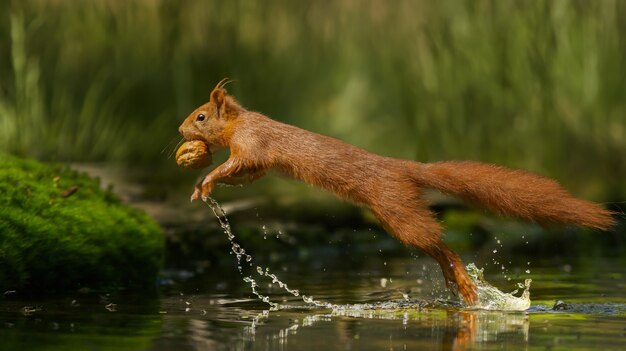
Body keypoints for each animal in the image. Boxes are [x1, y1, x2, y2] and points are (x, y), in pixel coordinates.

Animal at [178, 80, 612, 306]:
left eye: (200, 116)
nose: (181, 131)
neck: (242, 124)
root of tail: (405, 168)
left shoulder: (253, 146)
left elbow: (234, 166)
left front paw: (205, 181)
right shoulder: (259, 165)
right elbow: (245, 176)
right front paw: (201, 183)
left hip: (397, 211)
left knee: (441, 244)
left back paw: (464, 282)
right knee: (438, 247)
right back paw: (456, 283)